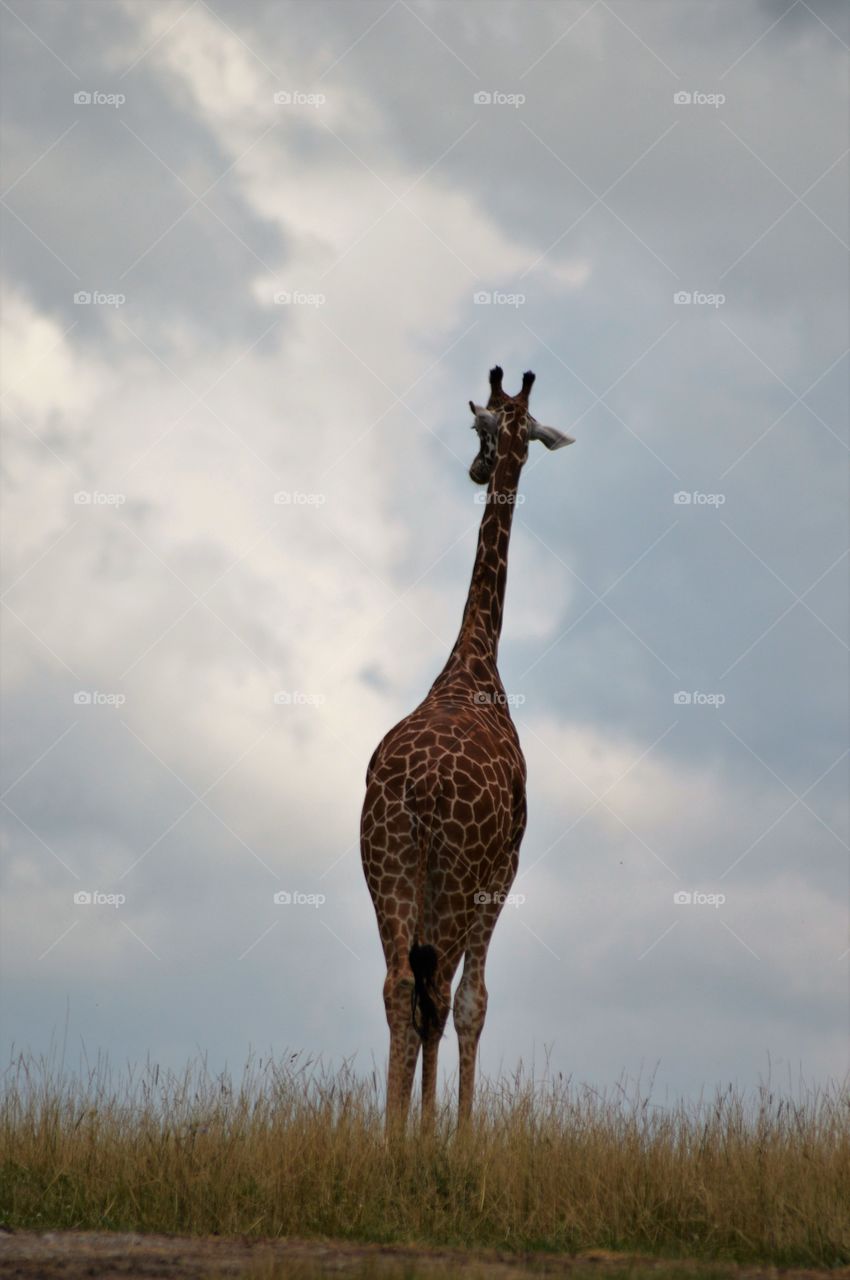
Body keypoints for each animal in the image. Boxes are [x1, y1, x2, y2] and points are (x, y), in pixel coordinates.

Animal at [360, 366, 573, 1126]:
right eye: (487, 427)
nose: (478, 467)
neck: (473, 663)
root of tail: (417, 791)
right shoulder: (505, 864)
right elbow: (473, 1002)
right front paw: (457, 1136)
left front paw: (423, 1130)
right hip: (456, 877)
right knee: (440, 991)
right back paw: (415, 1132)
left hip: (387, 864)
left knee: (401, 985)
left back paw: (389, 1134)